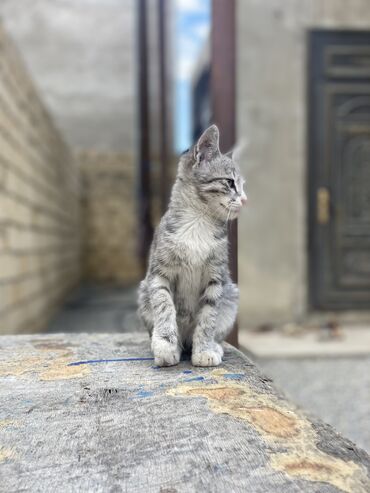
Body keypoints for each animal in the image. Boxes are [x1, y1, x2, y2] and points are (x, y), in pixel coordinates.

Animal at [137, 125, 247, 368]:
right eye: (230, 182)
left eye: (243, 186)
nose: (245, 199)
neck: (198, 221)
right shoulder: (159, 275)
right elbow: (164, 307)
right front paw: (166, 345)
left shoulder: (215, 278)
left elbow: (208, 318)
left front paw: (204, 350)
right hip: (143, 292)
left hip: (231, 295)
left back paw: (213, 346)